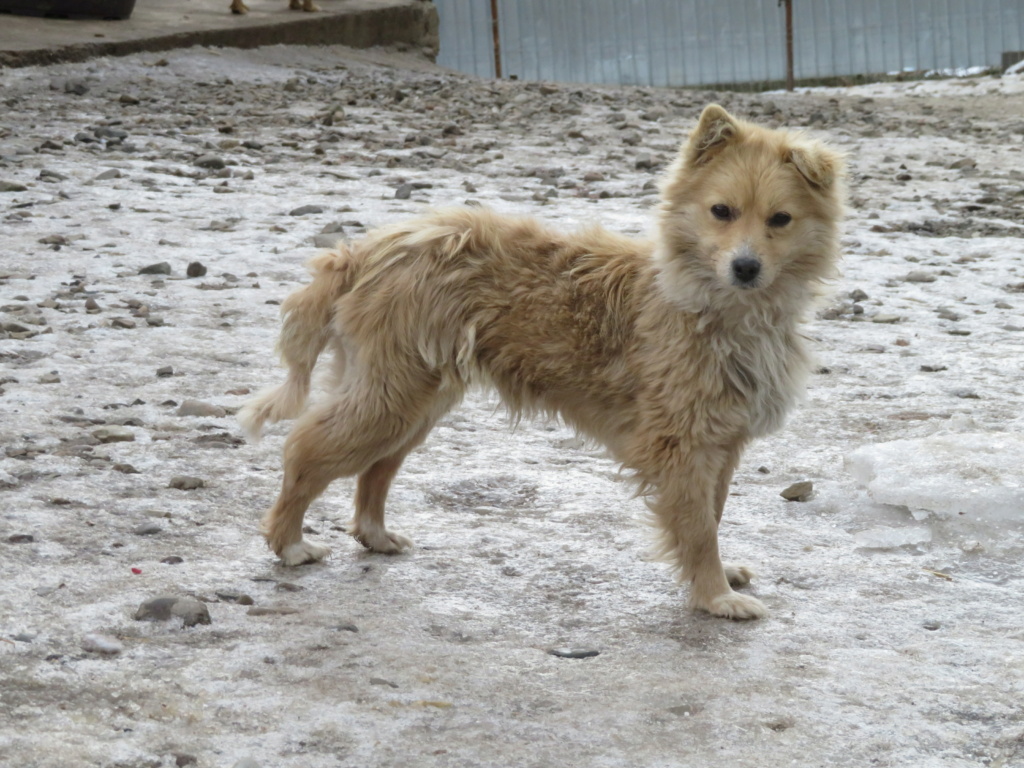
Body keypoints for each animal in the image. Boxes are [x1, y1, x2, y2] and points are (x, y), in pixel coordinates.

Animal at [241, 105, 847, 618]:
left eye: (780, 219)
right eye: (721, 212)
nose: (746, 267)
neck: (710, 307)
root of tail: (366, 250)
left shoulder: (721, 441)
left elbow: (711, 515)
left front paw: (718, 578)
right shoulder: (683, 443)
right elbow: (697, 527)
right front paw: (715, 596)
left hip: (415, 401)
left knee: (375, 470)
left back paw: (375, 535)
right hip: (390, 398)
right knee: (306, 449)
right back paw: (289, 542)